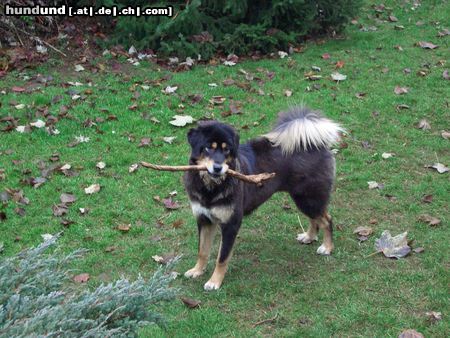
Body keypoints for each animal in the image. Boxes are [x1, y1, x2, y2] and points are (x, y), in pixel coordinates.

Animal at [181, 106, 342, 290]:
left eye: (227, 149)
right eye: (208, 147)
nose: (218, 168)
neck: (211, 187)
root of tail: (313, 142)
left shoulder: (231, 224)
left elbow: (222, 257)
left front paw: (214, 282)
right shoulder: (204, 219)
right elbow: (202, 251)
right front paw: (197, 271)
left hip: (308, 198)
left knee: (327, 219)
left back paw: (327, 247)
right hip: (303, 198)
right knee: (315, 219)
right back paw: (309, 237)